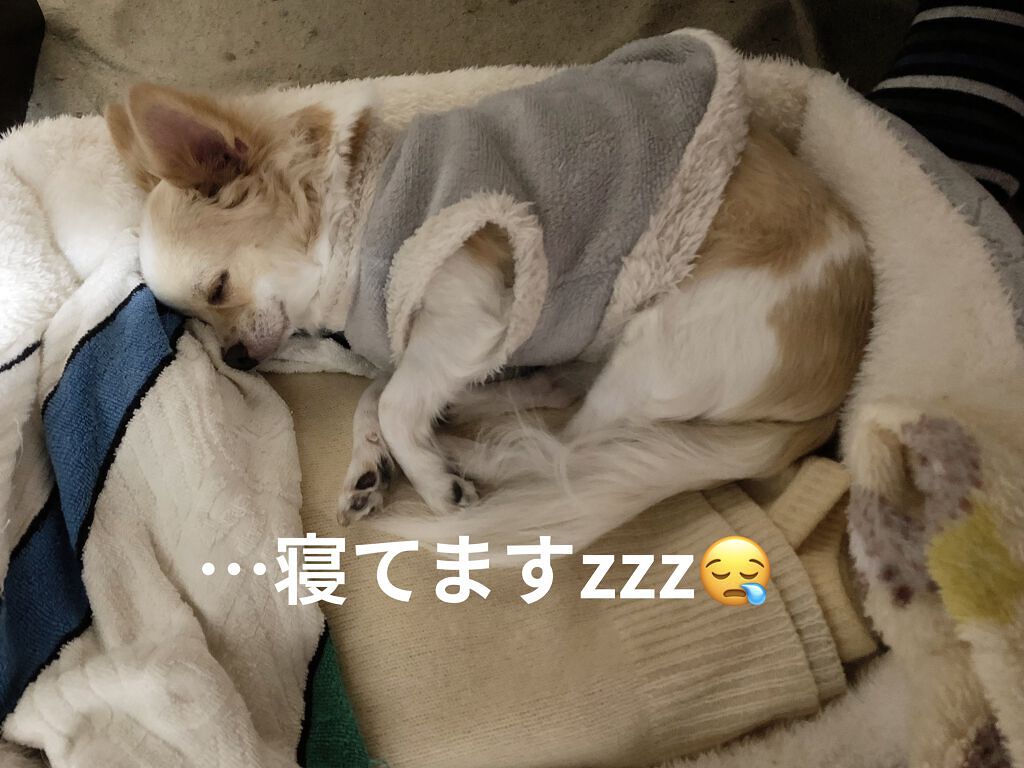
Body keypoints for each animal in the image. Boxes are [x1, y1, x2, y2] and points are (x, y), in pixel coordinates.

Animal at [105, 36, 872, 555]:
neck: (360, 198)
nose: (234, 358)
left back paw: (469, 456)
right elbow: (381, 395)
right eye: (192, 317)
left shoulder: (471, 313)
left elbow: (393, 399)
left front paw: (430, 478)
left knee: (571, 445)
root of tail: (841, 392)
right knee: (554, 399)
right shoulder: (434, 343)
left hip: (664, 344)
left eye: (218, 288)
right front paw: (372, 464)